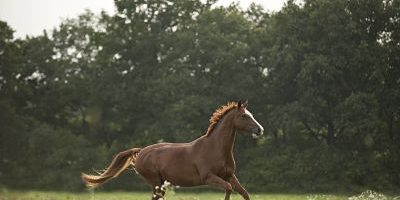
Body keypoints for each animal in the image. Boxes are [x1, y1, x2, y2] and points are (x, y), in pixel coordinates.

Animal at [81, 100, 264, 200]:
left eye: (251, 114)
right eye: (244, 116)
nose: (260, 130)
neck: (216, 148)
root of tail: (141, 151)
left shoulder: (230, 176)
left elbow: (244, 193)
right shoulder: (209, 177)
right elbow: (228, 189)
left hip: (160, 184)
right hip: (155, 182)